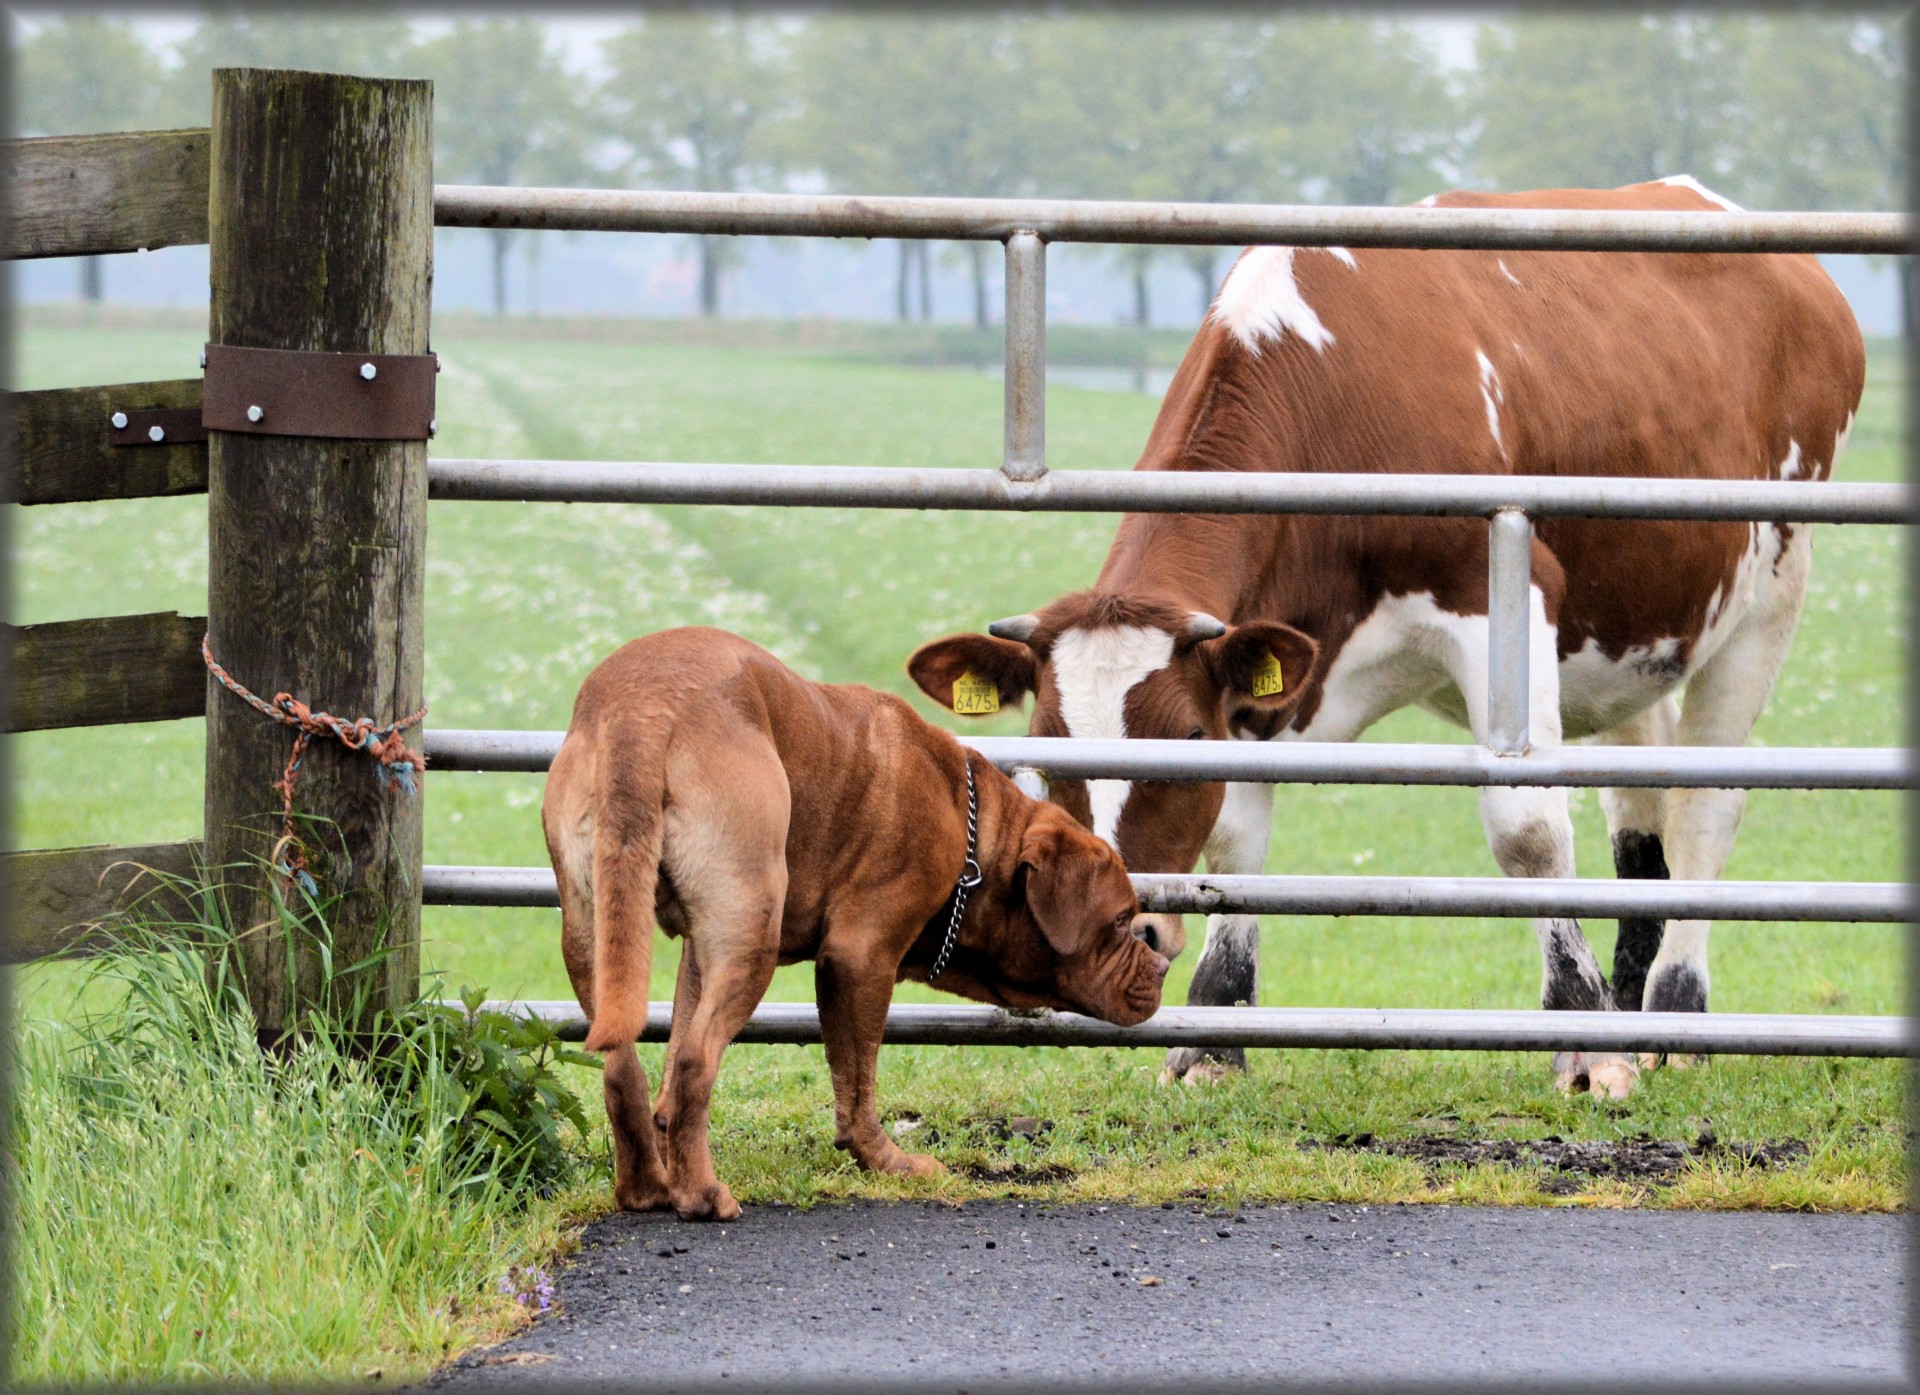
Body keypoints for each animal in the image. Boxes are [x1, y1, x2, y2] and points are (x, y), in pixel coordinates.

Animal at [541, 629, 1167, 1220]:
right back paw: (701, 1195)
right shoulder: (861, 957)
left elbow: (674, 1063)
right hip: (752, 932)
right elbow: (858, 1074)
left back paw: (647, 1188)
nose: (1161, 964)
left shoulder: (701, 951)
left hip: (599, 931)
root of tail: (640, 711)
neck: (976, 839)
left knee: (626, 1069)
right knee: (698, 1061)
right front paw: (886, 1161)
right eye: (1119, 920)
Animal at [906, 180, 1866, 1105]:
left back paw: (1674, 1015)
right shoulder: (1264, 673)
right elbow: (1238, 841)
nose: (1119, 928)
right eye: (1048, 745)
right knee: (1641, 804)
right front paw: (1213, 1038)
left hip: (1772, 592)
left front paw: (1586, 1045)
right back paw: (1635, 994)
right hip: (1633, 636)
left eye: (1184, 737)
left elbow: (1529, 832)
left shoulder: (1502, 597)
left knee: (1706, 803)